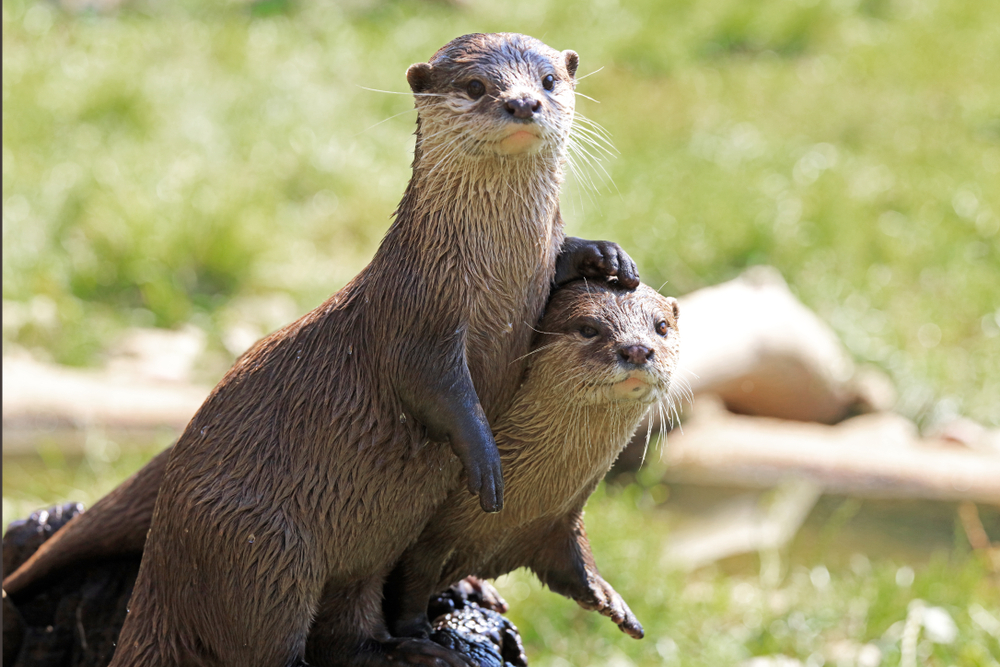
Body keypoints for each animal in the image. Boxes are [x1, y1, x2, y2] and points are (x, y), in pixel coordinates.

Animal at [90, 33, 637, 667]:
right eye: (475, 86)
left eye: (549, 80)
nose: (523, 102)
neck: (491, 278)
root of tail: (157, 573)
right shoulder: (415, 318)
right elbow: (435, 388)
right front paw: (485, 460)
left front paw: (605, 257)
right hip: (261, 549)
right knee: (270, 642)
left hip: (362, 555)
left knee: (347, 629)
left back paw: (417, 650)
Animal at [386, 280, 679, 641]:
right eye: (588, 329)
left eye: (661, 326)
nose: (637, 349)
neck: (514, 511)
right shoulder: (426, 540)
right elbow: (413, 579)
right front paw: (416, 633)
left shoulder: (560, 519)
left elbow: (574, 561)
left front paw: (608, 596)